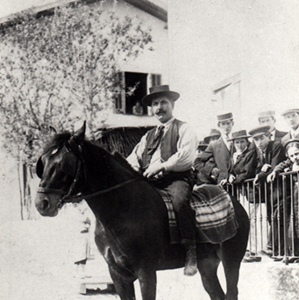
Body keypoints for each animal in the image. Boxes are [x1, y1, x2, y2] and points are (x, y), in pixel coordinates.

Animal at [35, 122, 251, 300]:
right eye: (43, 161)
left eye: (66, 162)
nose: (41, 203)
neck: (124, 209)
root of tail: (236, 203)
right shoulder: (118, 275)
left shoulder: (146, 272)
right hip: (207, 265)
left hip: (231, 260)